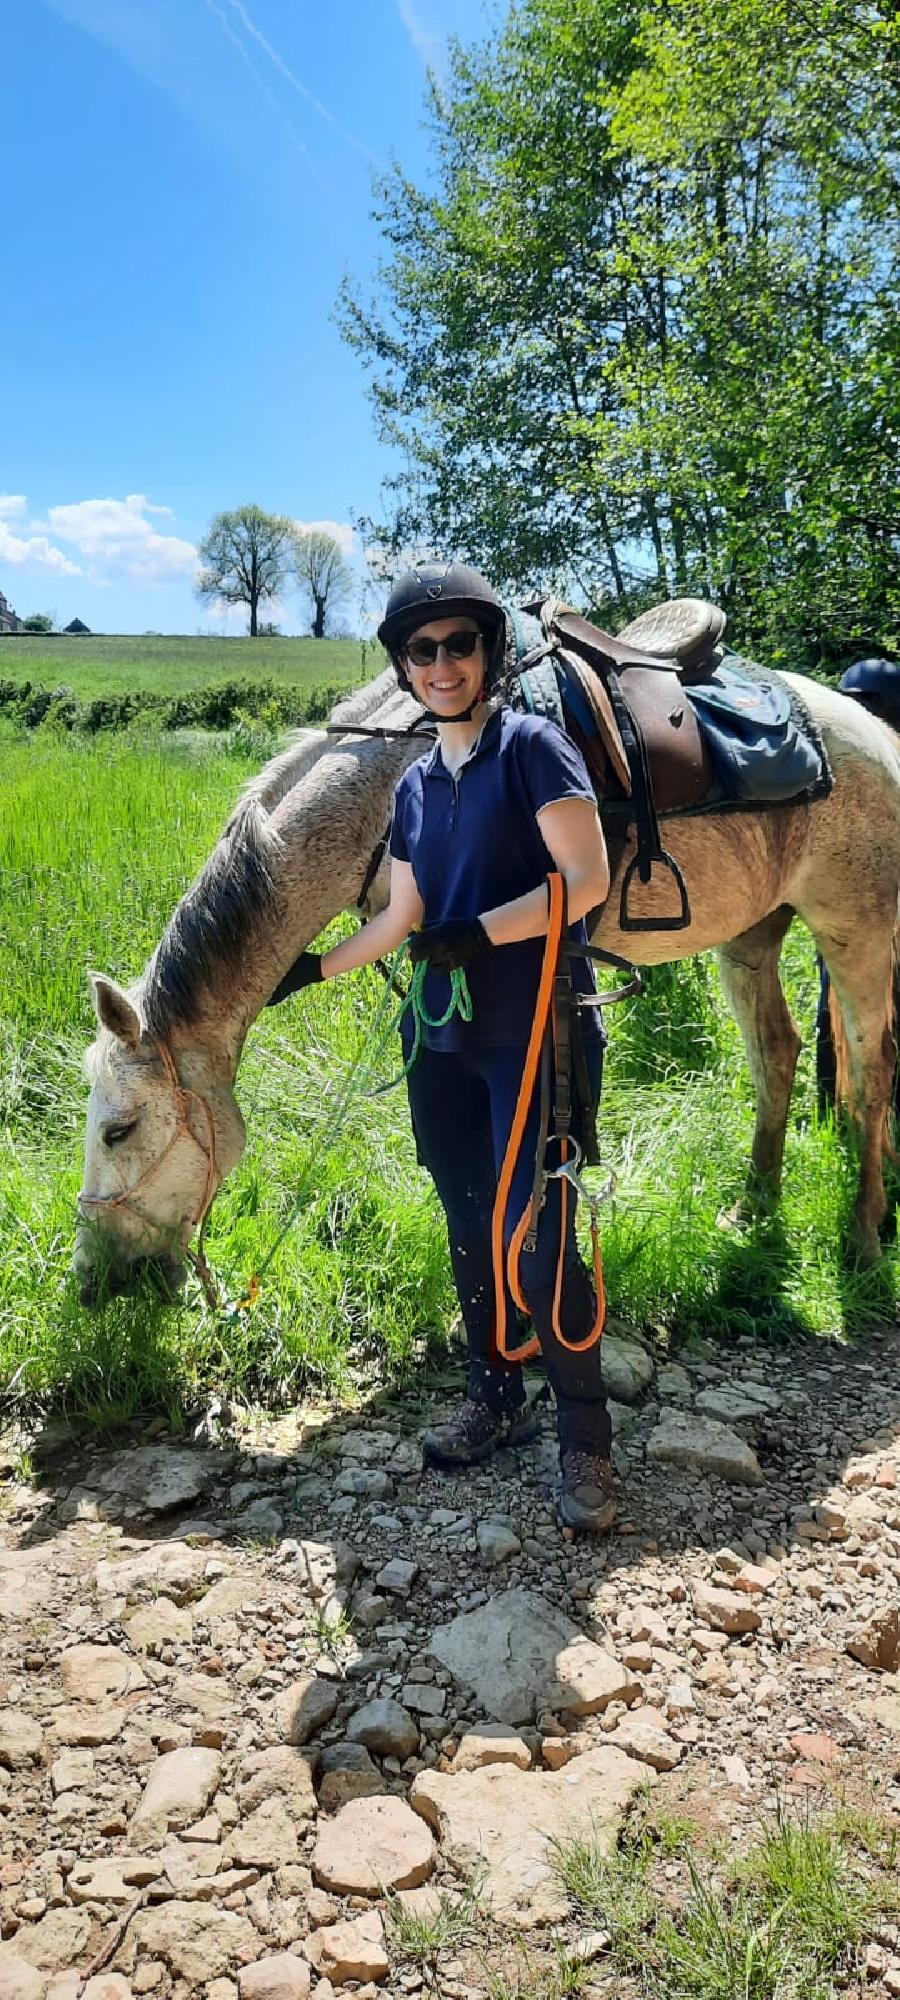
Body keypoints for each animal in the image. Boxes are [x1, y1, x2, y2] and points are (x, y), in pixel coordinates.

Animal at [74, 664, 900, 1304]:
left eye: (121, 1130)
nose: (92, 1280)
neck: (388, 796)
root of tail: (876, 734)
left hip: (855, 930)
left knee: (872, 1072)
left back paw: (864, 1236)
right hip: (753, 936)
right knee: (777, 1055)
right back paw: (754, 1204)